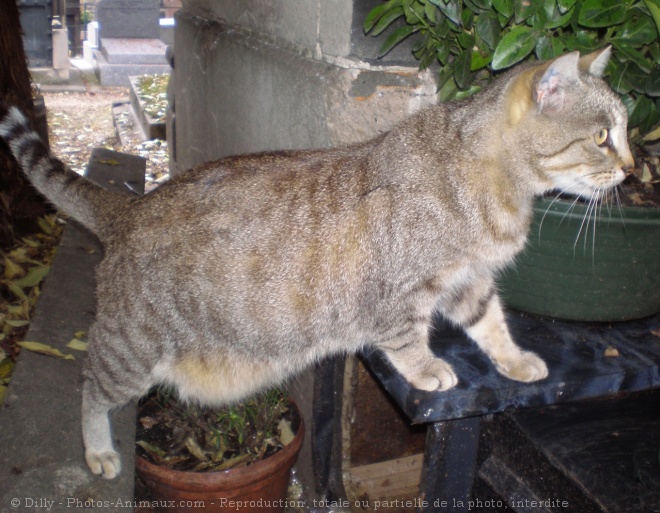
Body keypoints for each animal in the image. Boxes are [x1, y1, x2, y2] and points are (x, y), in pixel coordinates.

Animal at [0, 46, 636, 478]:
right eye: (603, 137)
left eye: (626, 132)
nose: (633, 170)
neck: (497, 187)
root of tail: (132, 207)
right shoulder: (400, 294)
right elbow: (407, 340)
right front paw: (428, 369)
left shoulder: (467, 282)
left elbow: (492, 325)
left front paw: (516, 361)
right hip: (132, 348)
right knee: (90, 384)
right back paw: (98, 450)